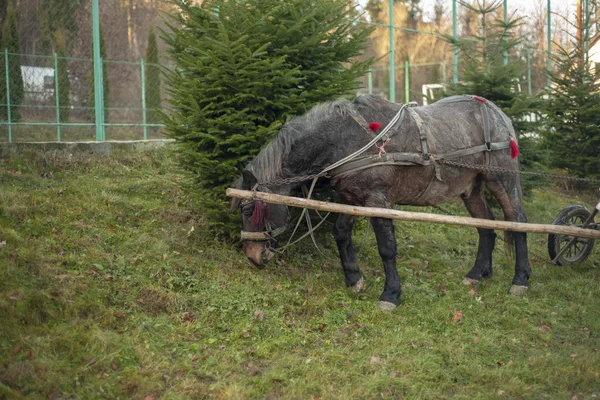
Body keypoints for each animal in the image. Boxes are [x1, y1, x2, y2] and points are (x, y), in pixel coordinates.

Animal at [232, 93, 528, 310]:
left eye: (250, 209)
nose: (252, 257)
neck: (345, 140)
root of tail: (497, 113)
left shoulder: (377, 199)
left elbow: (387, 248)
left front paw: (391, 294)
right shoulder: (352, 197)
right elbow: (341, 232)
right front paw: (354, 279)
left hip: (502, 179)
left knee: (517, 220)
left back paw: (521, 279)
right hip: (471, 188)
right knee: (486, 224)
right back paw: (478, 273)